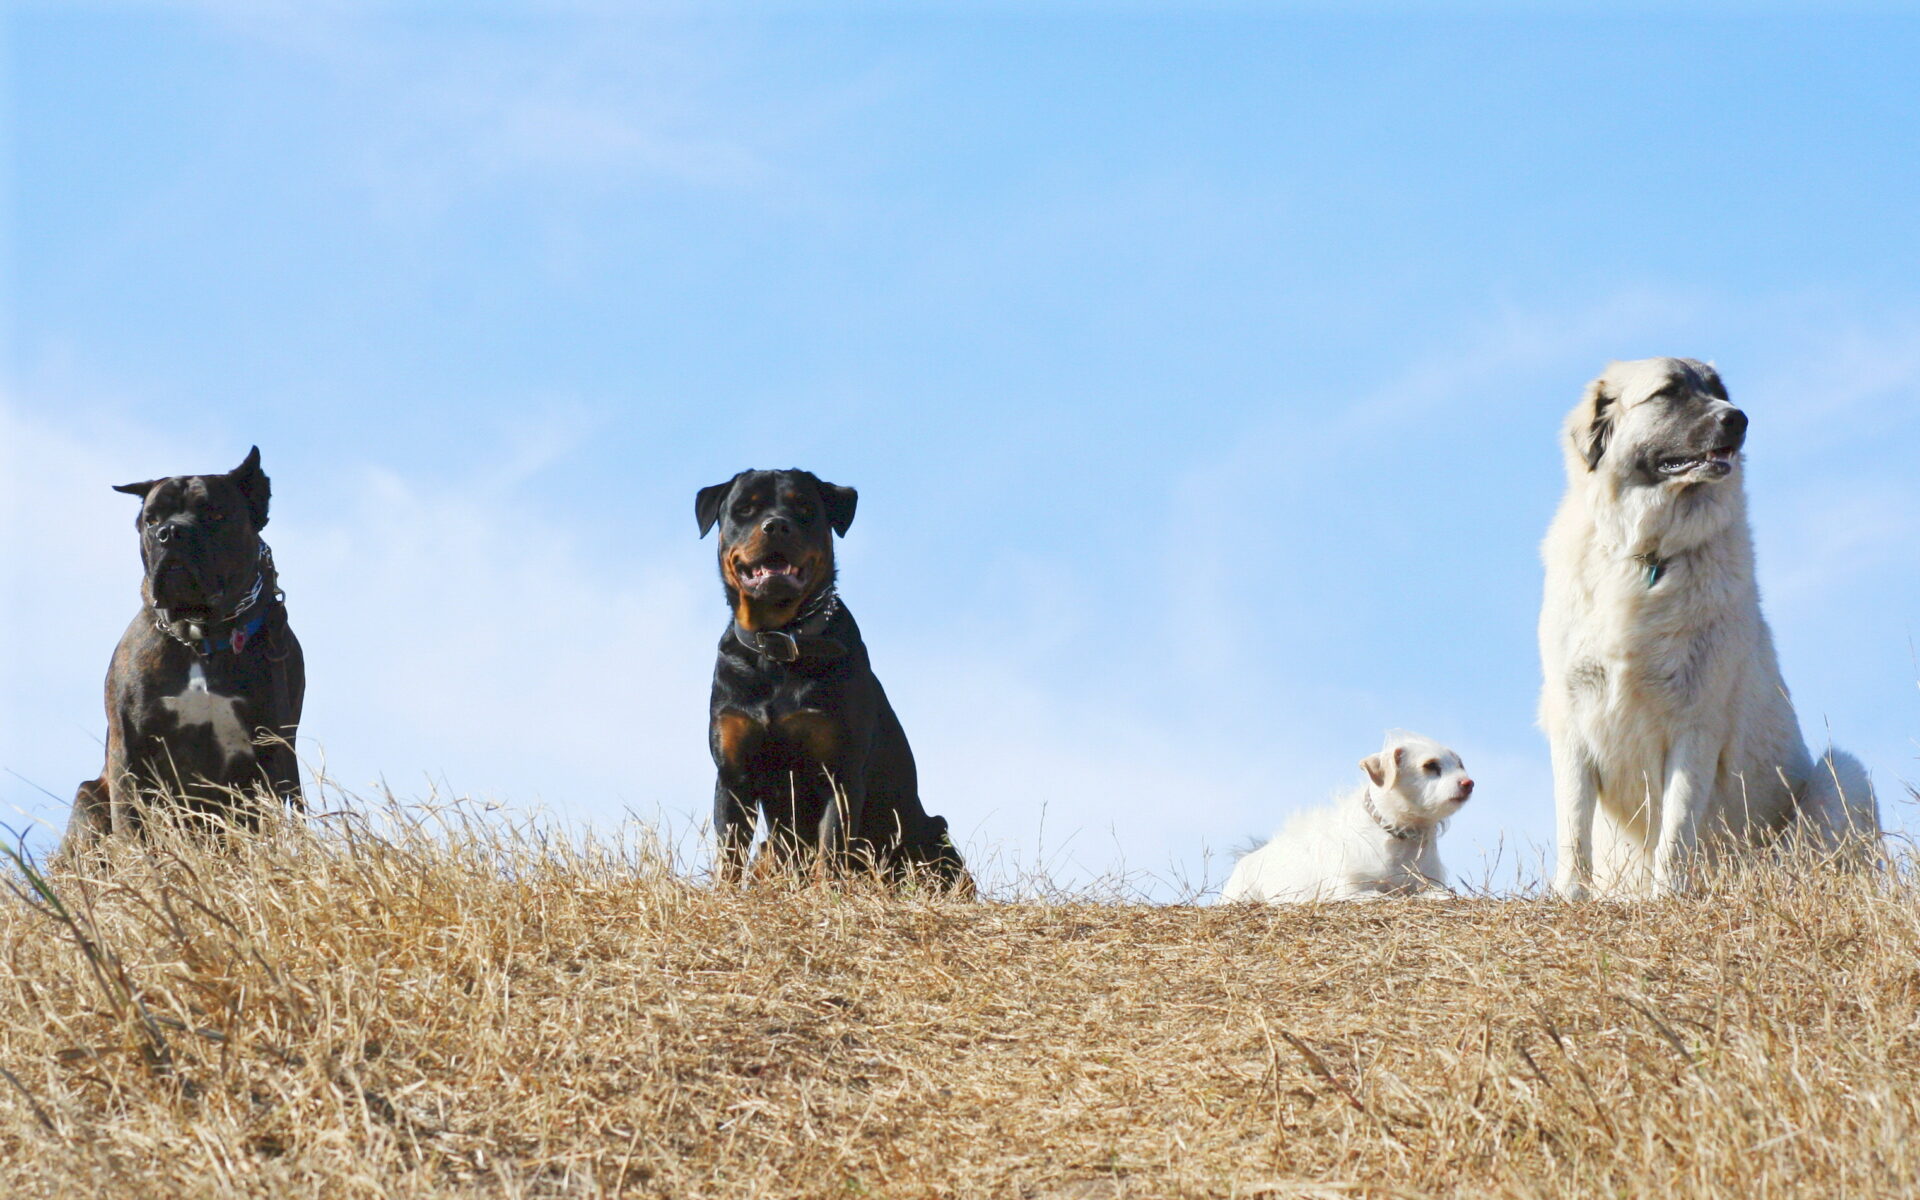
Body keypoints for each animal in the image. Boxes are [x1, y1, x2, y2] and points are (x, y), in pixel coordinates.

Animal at [65, 445, 305, 848]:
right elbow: (130, 823)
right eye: (150, 520)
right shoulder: (128, 748)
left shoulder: (274, 745)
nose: (171, 532)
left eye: (216, 514)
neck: (199, 636)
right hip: (88, 797)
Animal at [698, 468, 975, 890]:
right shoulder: (733, 774)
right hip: (769, 848)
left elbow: (830, 850)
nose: (776, 525)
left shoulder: (839, 771)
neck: (779, 644)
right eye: (744, 508)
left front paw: (826, 893)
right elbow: (729, 855)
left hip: (932, 835)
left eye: (803, 507)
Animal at [1221, 729, 1474, 898]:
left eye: (1460, 764)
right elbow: (1380, 895)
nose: (1469, 783)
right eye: (1430, 765)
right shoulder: (1349, 890)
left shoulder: (1430, 885)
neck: (1398, 836)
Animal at [1543, 357, 1873, 898]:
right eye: (1668, 393)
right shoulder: (1571, 717)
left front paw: (1667, 896)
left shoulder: (1696, 723)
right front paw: (1570, 895)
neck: (1648, 558)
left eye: (1719, 391)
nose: (1738, 420)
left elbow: (1676, 827)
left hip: (1843, 774)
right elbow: (1573, 824)